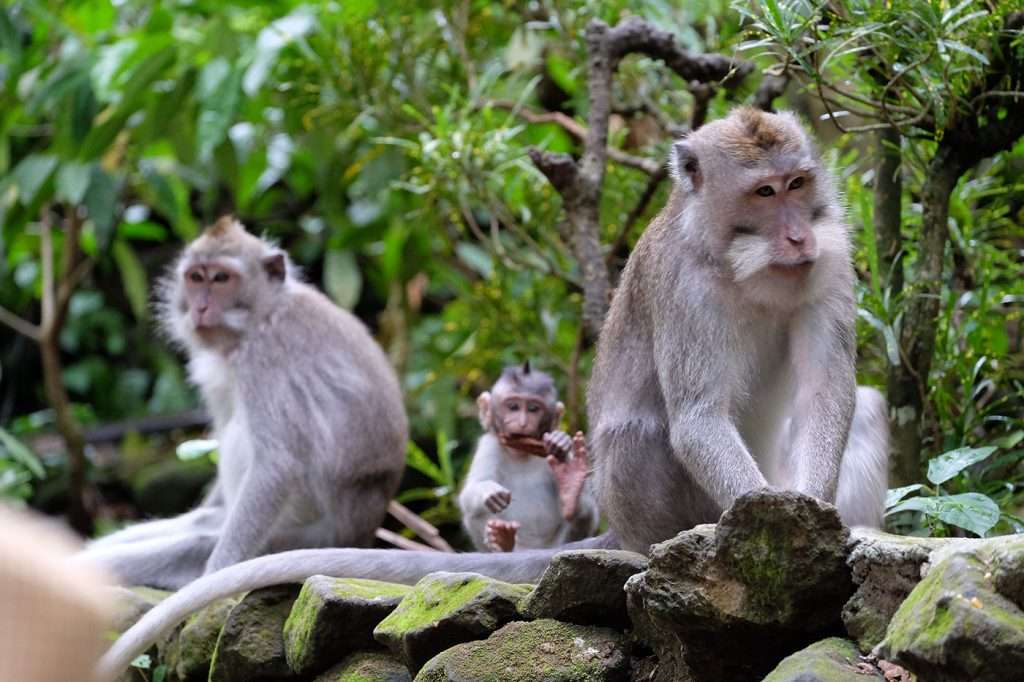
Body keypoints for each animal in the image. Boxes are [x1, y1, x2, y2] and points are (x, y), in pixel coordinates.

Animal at [78, 217, 408, 589]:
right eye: (196, 277)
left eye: (222, 278)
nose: (200, 308)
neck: (261, 316)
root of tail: (361, 534)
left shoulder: (264, 357)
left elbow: (277, 464)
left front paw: (215, 576)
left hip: (296, 538)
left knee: (197, 539)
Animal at [459, 363, 598, 552]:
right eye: (513, 407)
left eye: (533, 409)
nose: (522, 422)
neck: (521, 453)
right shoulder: (489, 445)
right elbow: (469, 493)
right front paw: (489, 491)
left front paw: (559, 442)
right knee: (476, 512)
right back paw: (502, 540)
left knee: (585, 515)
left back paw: (571, 490)